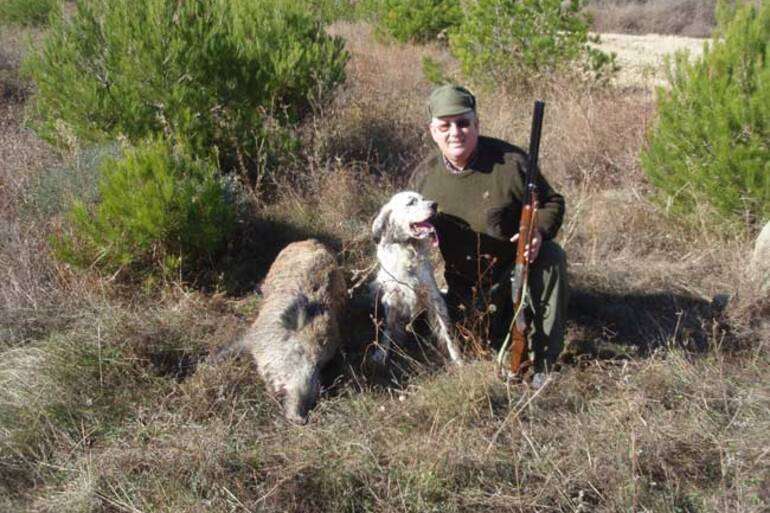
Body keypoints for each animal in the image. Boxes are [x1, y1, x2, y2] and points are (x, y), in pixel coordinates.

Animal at [370, 191, 462, 364]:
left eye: (424, 198)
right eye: (411, 202)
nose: (435, 204)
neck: (408, 249)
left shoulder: (434, 297)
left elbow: (447, 331)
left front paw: (458, 359)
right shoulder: (392, 298)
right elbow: (389, 328)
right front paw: (382, 353)